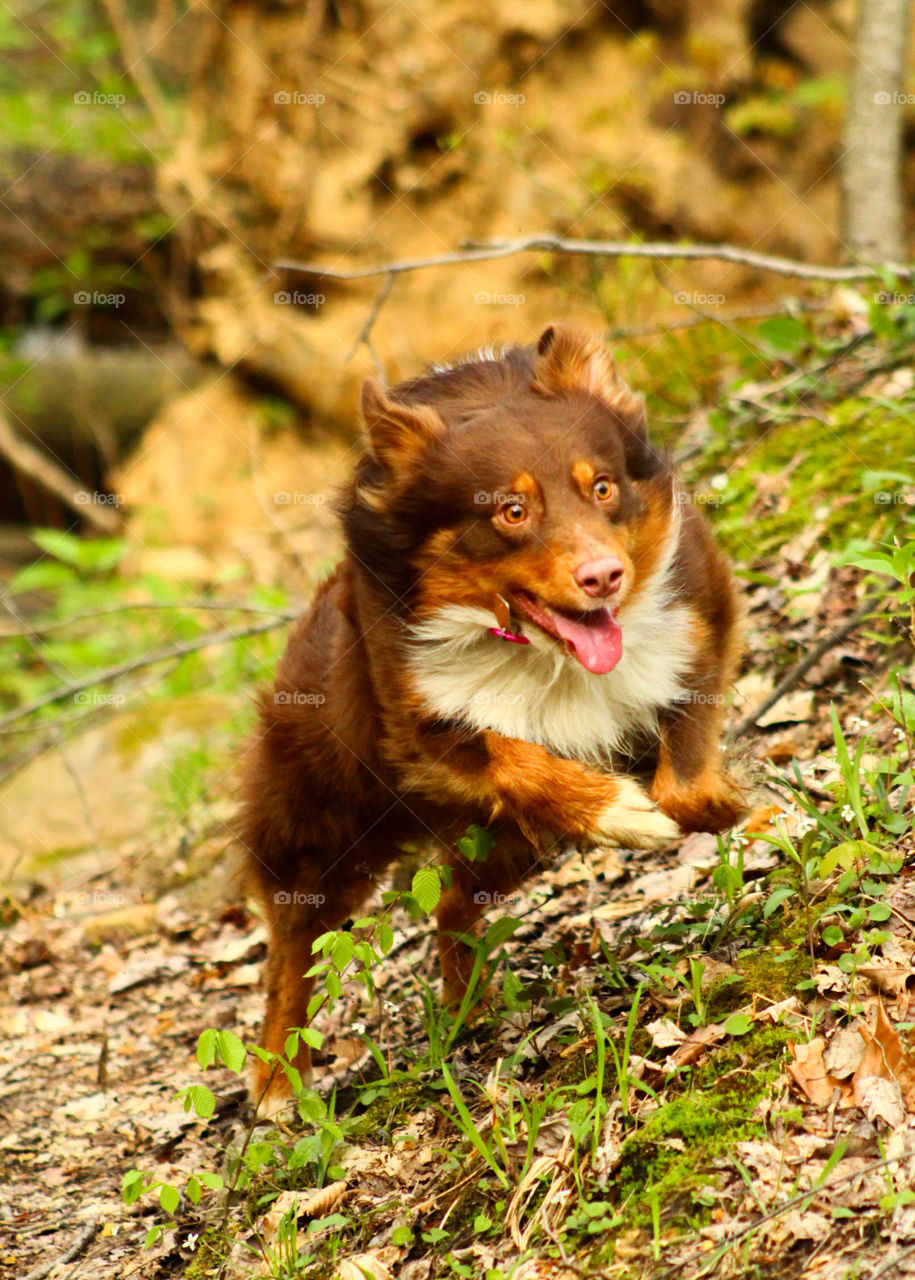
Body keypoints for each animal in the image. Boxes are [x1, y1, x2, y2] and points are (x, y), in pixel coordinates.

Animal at [239, 322, 747, 1111]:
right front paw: (618, 812)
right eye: (512, 511)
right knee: (291, 945)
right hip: (324, 816)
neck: (546, 652)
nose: (605, 577)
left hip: (502, 846)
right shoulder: (416, 723)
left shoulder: (698, 619)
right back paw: (274, 1080)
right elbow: (514, 753)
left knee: (451, 905)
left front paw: (718, 806)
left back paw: (466, 1006)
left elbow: (685, 773)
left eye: (602, 487)